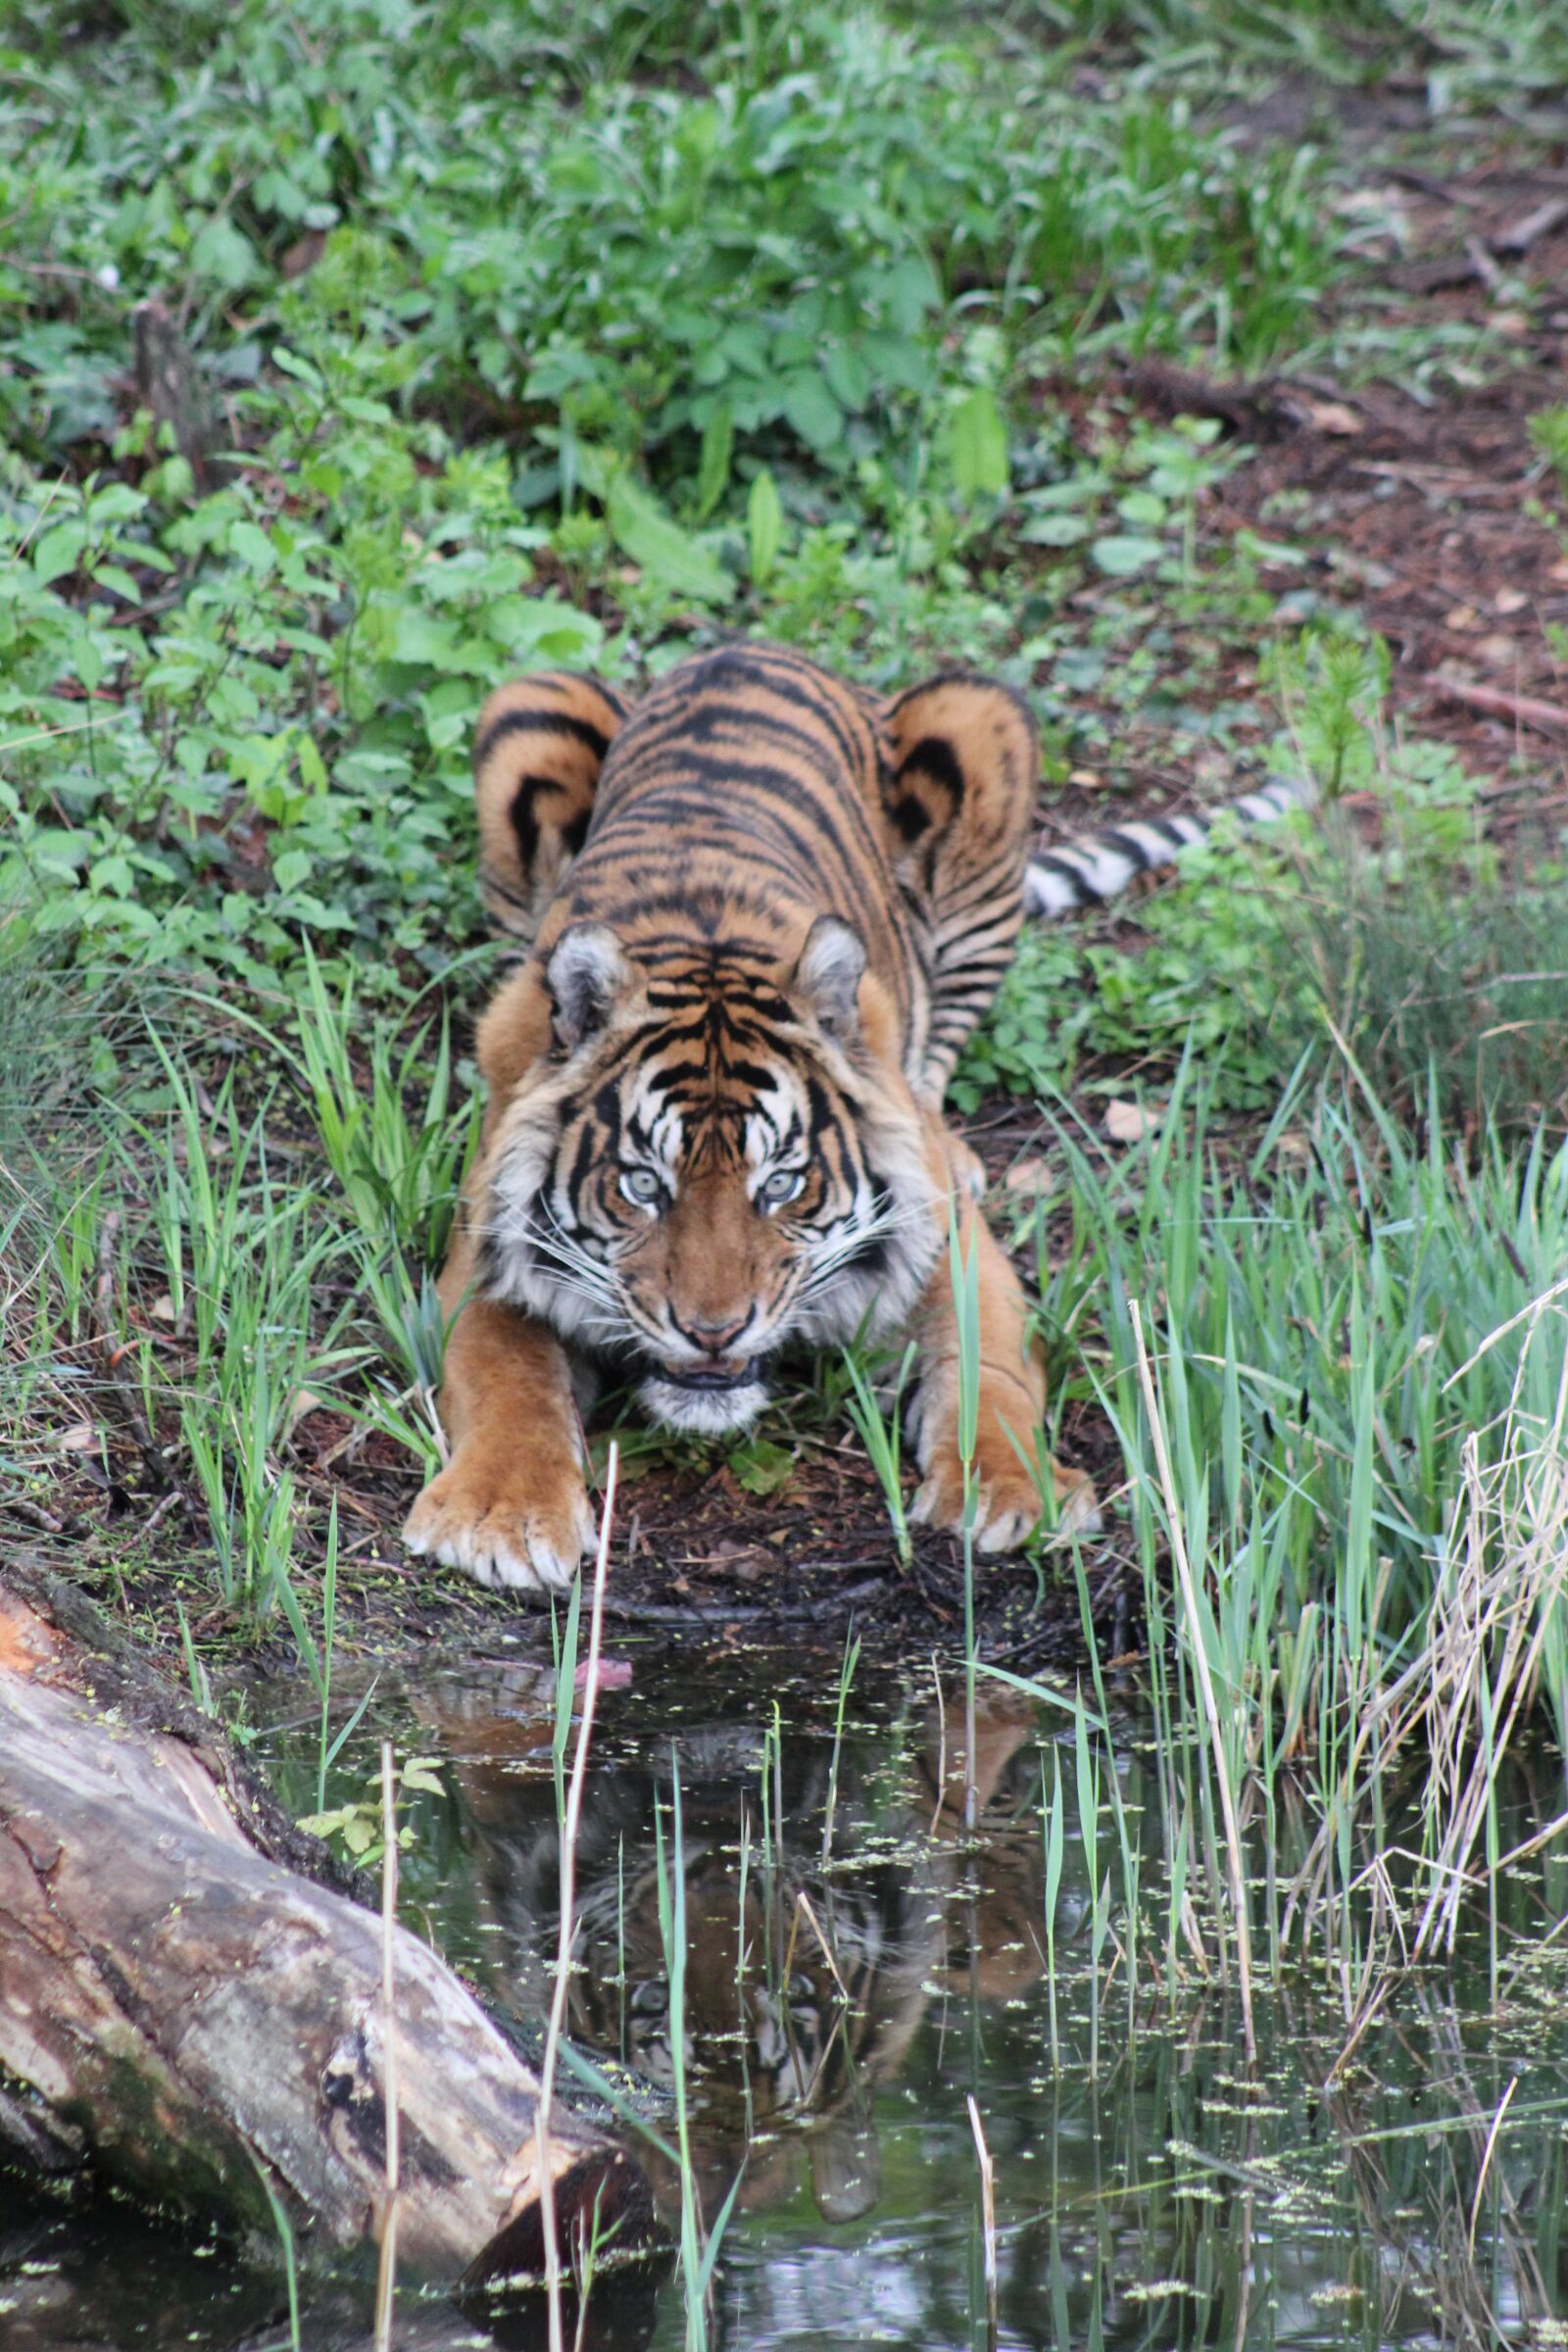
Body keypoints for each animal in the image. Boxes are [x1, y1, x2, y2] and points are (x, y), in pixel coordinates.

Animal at [405, 639, 1307, 1593]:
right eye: (644, 1186)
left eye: (782, 1184)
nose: (713, 1333)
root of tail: (752, 645)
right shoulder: (486, 1247)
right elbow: (505, 1372)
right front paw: (503, 1514)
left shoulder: (945, 1237)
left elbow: (989, 1367)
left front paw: (1015, 1490)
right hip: (532, 706)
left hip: (978, 726)